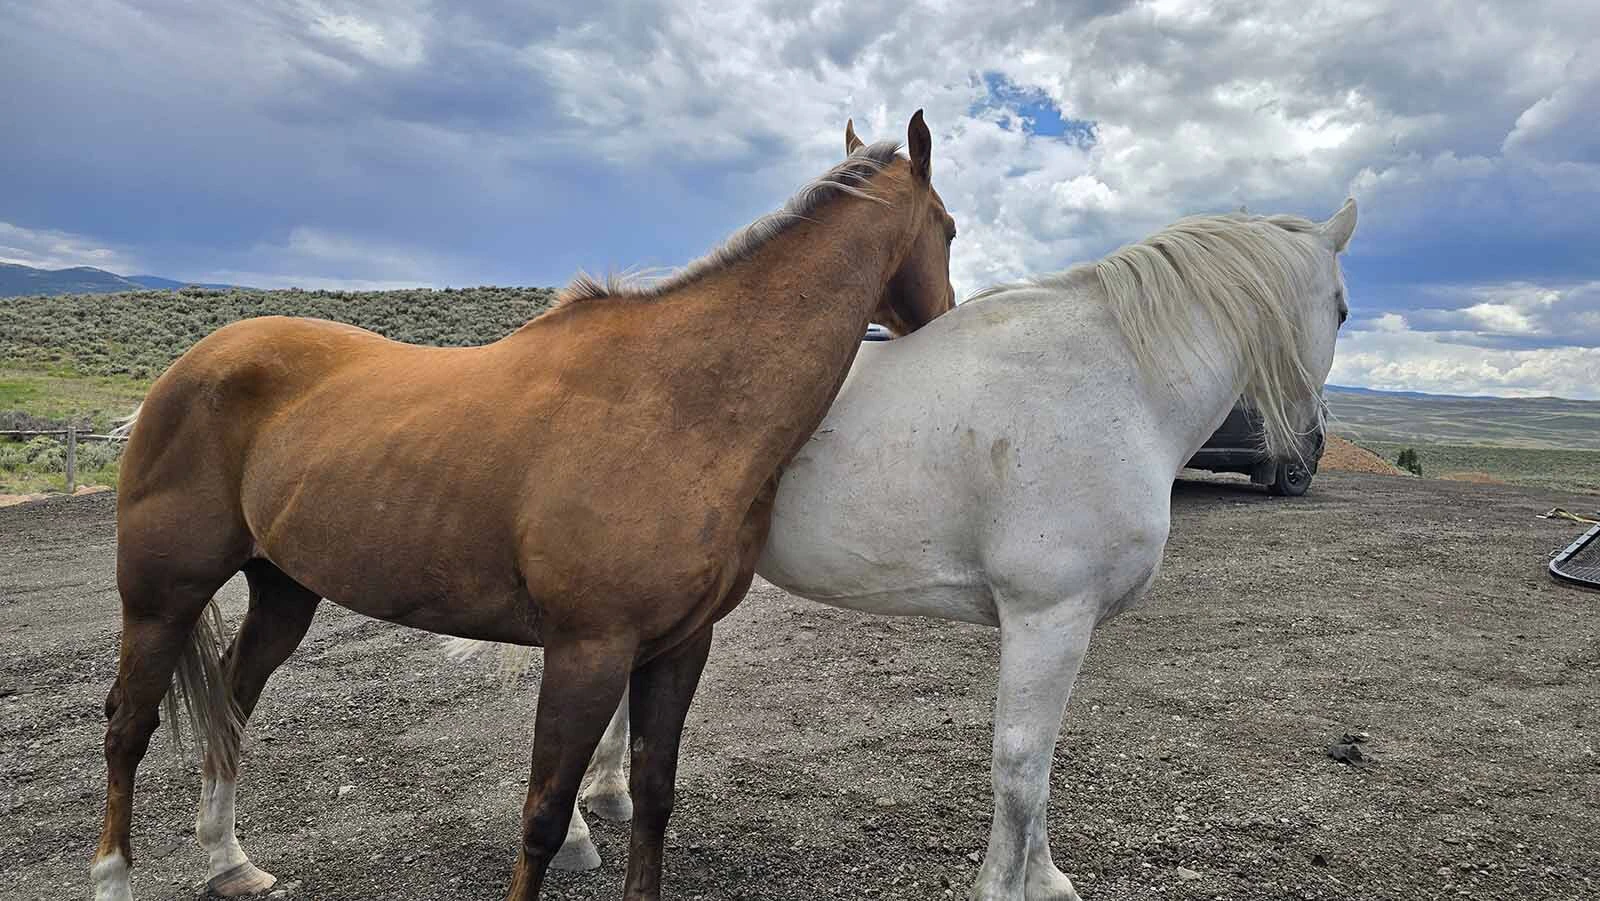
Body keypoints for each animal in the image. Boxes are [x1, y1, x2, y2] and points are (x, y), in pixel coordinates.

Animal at [91, 112, 957, 901]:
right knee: (128, 726)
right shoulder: (586, 649)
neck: (679, 402)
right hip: (162, 593)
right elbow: (542, 814)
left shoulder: (681, 645)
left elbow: (655, 797)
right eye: (949, 228)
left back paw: (228, 861)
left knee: (231, 701)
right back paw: (115, 877)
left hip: (282, 588)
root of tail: (188, 368)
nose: (945, 317)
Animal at [507, 200, 1358, 899]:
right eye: (1345, 310)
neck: (1116, 384)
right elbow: (1019, 766)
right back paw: (577, 832)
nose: (1308, 438)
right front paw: (1006, 887)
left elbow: (1040, 765)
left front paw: (1044, 879)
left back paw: (610, 795)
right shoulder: (1047, 616)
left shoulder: (1061, 627)